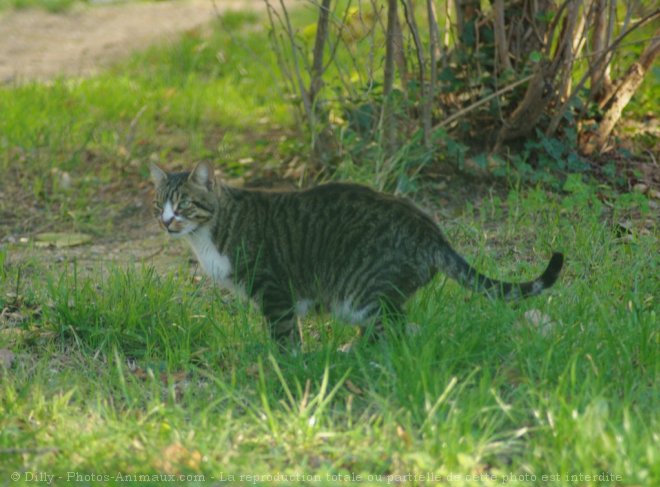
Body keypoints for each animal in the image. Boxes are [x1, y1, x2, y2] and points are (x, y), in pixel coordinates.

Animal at [150, 162, 564, 348]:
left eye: (183, 204)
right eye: (159, 204)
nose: (166, 221)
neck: (206, 236)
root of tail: (432, 233)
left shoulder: (274, 289)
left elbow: (284, 334)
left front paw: (284, 364)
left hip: (366, 290)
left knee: (392, 329)